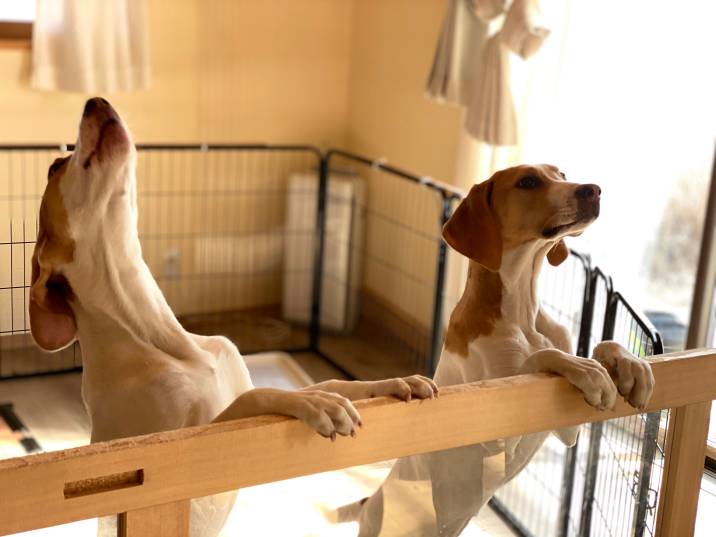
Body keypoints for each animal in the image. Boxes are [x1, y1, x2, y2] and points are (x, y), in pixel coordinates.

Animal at [29, 98, 436, 532]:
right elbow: (258, 397)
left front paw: (390, 382)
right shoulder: (176, 452)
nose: (96, 101)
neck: (153, 334)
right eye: (55, 166)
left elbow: (333, 381)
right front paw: (318, 405)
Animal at [352, 165, 656, 532]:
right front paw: (586, 370)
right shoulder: (501, 429)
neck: (522, 310)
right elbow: (542, 356)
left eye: (561, 173)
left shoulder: (568, 430)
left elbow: (599, 345)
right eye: (528, 181)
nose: (594, 190)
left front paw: (629, 363)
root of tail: (369, 502)